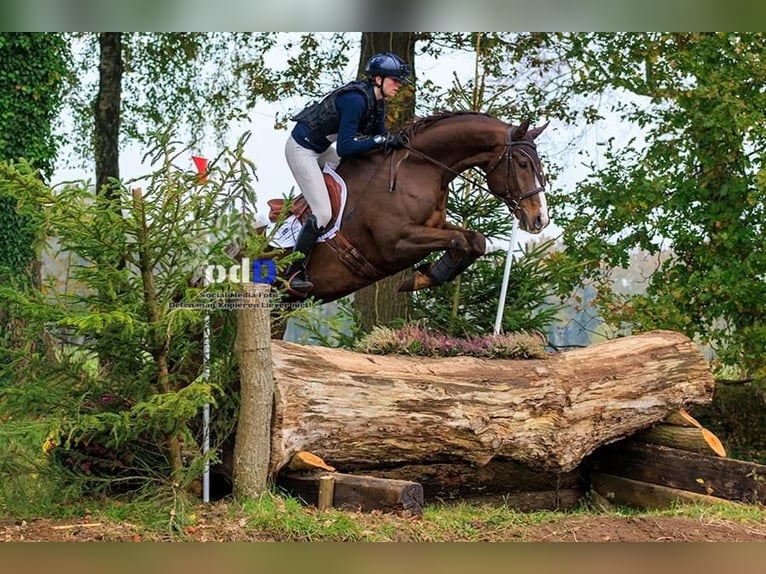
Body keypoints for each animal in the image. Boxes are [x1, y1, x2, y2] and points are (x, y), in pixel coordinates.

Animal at [268, 109, 548, 304]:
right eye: (524, 164)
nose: (540, 219)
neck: (418, 169)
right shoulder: (393, 243)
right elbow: (459, 240)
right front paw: (420, 278)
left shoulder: (435, 225)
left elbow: (475, 240)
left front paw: (426, 276)